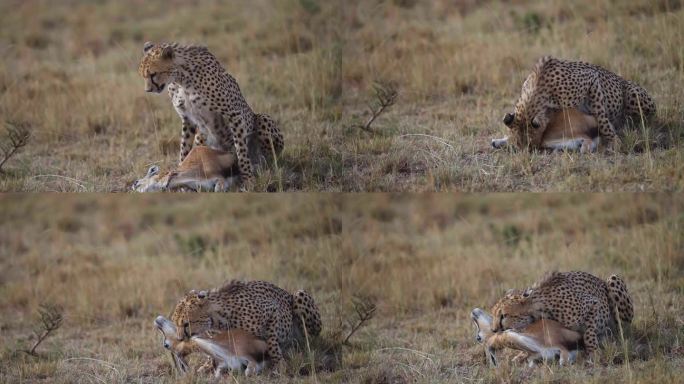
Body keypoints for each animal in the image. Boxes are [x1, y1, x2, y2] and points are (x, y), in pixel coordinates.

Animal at [139, 42, 284, 188]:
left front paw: (248, 179)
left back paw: (261, 168)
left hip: (263, 119)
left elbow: (241, 150)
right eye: (144, 76)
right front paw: (180, 168)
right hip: (201, 137)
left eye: (153, 74)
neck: (181, 78)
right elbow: (184, 148)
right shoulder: (188, 119)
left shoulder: (234, 114)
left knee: (269, 159)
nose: (147, 90)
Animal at [170, 280, 322, 370]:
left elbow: (272, 343)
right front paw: (206, 366)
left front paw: (279, 363)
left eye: (186, 324)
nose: (179, 338)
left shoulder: (273, 311)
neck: (218, 320)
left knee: (310, 339)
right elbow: (212, 353)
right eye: (175, 323)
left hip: (299, 295)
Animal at [492, 270, 636, 356]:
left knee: (622, 328)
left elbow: (588, 333)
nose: (493, 330)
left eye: (503, 315)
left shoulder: (595, 304)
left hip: (613, 280)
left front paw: (593, 352)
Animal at [500, 56, 656, 151]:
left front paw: (614, 141)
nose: (537, 149)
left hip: (633, 94)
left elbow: (602, 118)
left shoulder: (592, 80)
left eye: (532, 145)